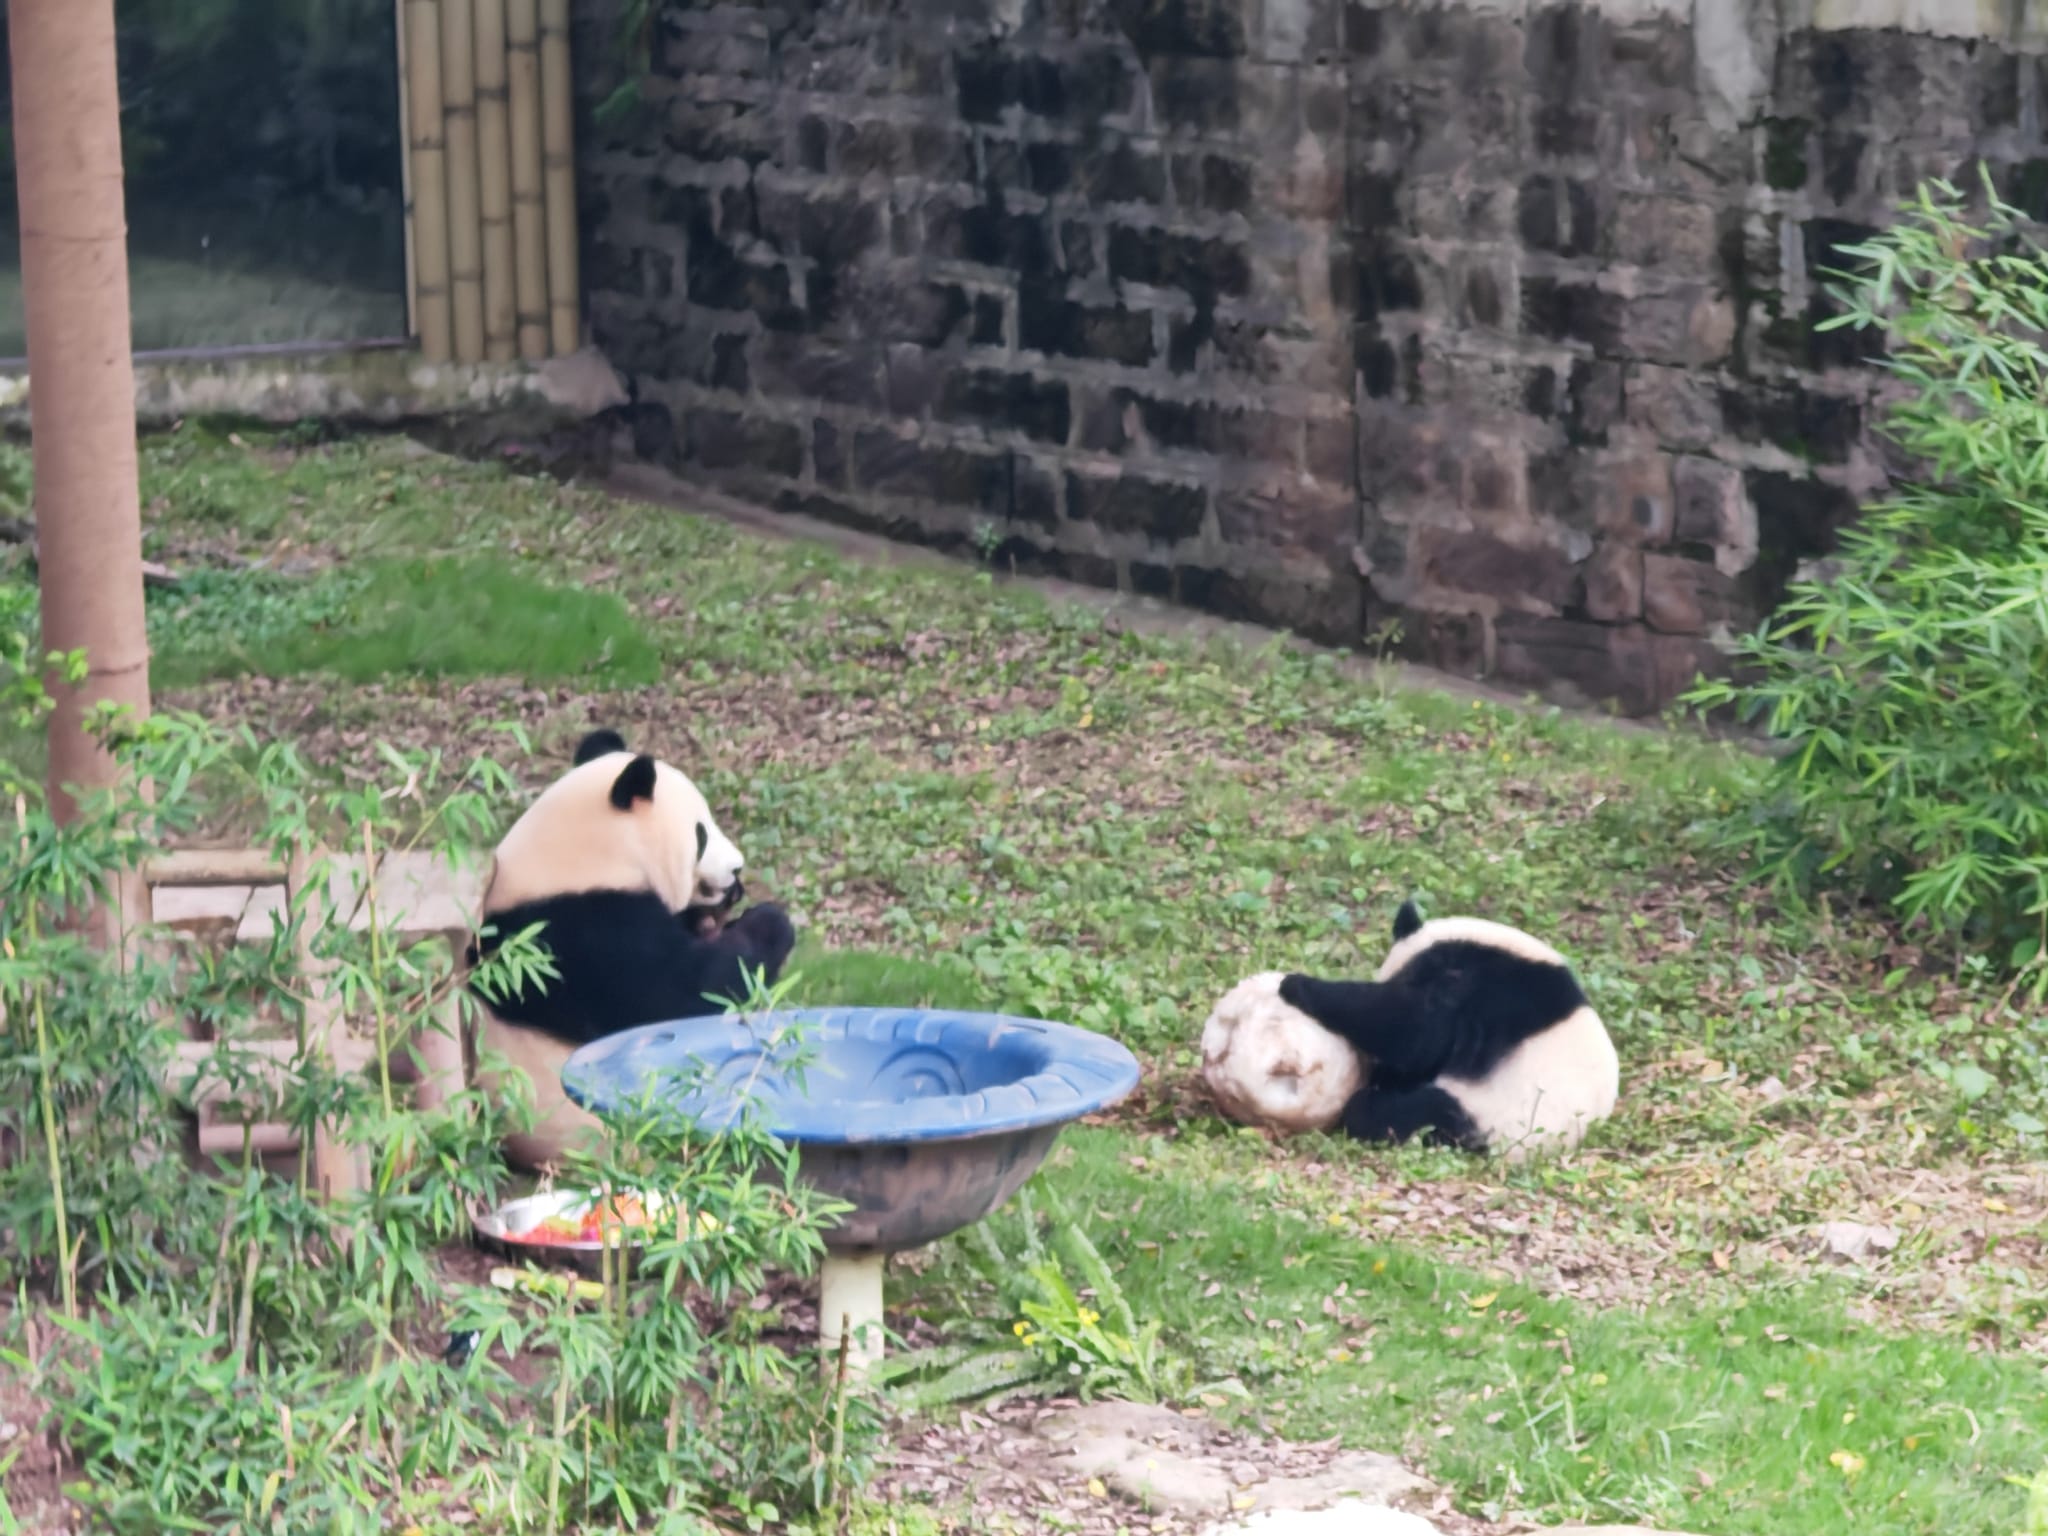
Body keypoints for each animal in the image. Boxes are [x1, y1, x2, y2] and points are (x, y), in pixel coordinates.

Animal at [465, 727, 797, 1171]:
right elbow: (682, 993)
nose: (737, 868)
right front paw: (770, 922)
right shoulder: (585, 936)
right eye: (701, 833)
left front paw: (710, 919)